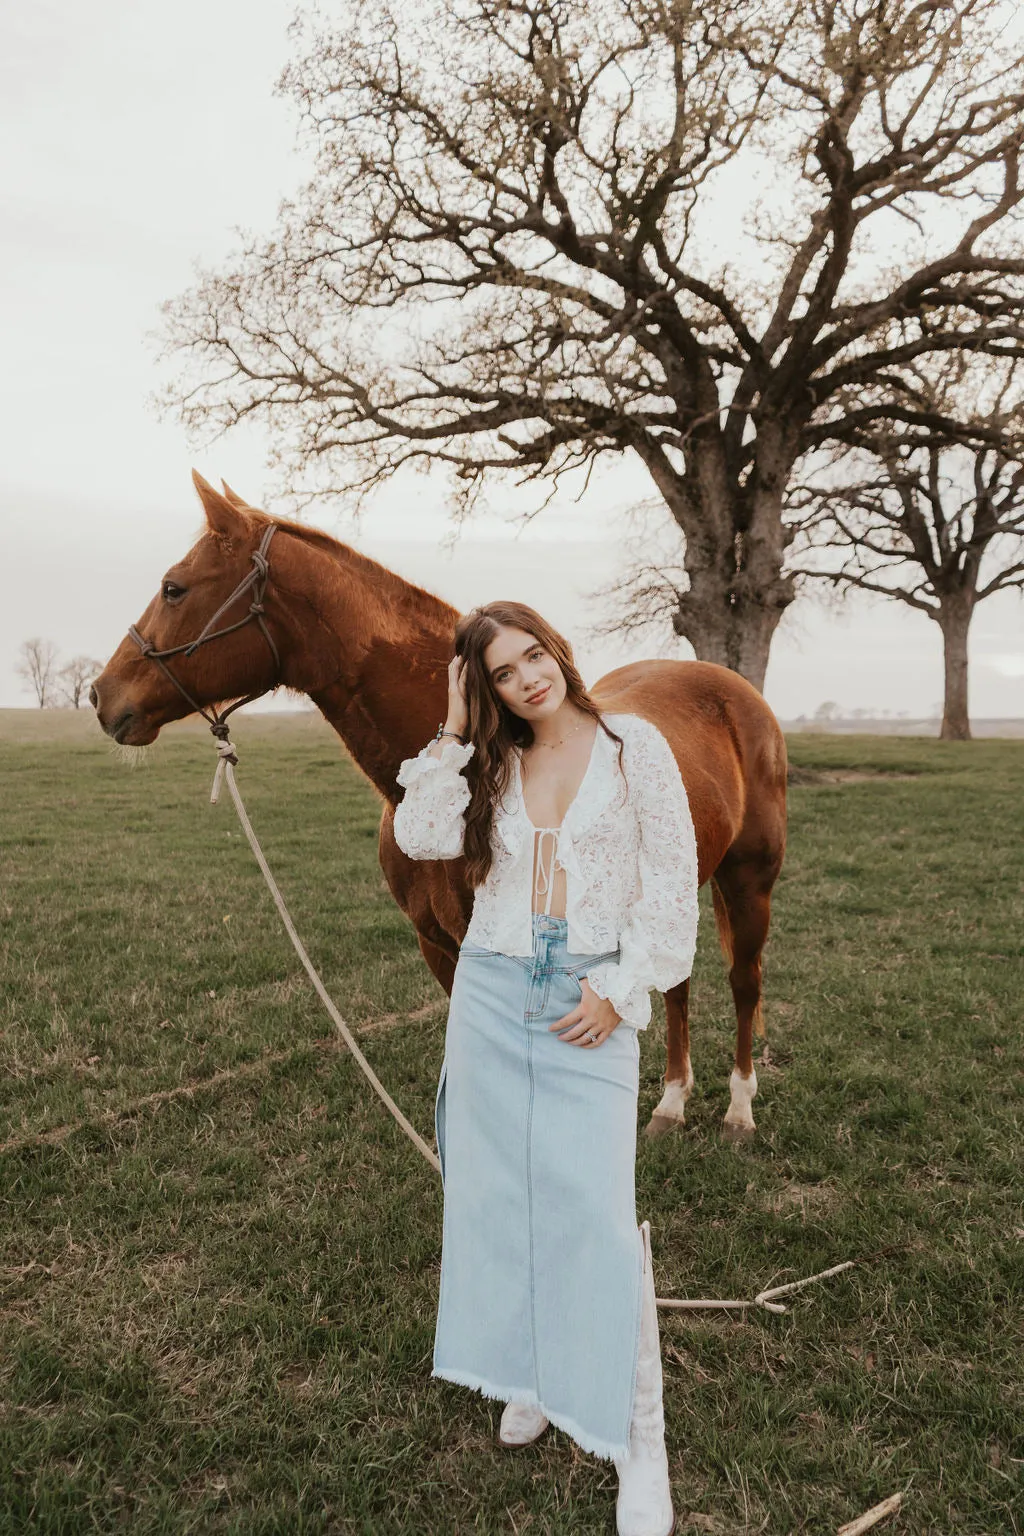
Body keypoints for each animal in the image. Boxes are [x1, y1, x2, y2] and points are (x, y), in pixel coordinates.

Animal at [94, 473, 786, 1136]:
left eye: (174, 588)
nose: (102, 696)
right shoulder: (440, 948)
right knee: (675, 984)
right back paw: (670, 1103)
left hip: (749, 881)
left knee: (743, 982)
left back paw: (739, 1111)